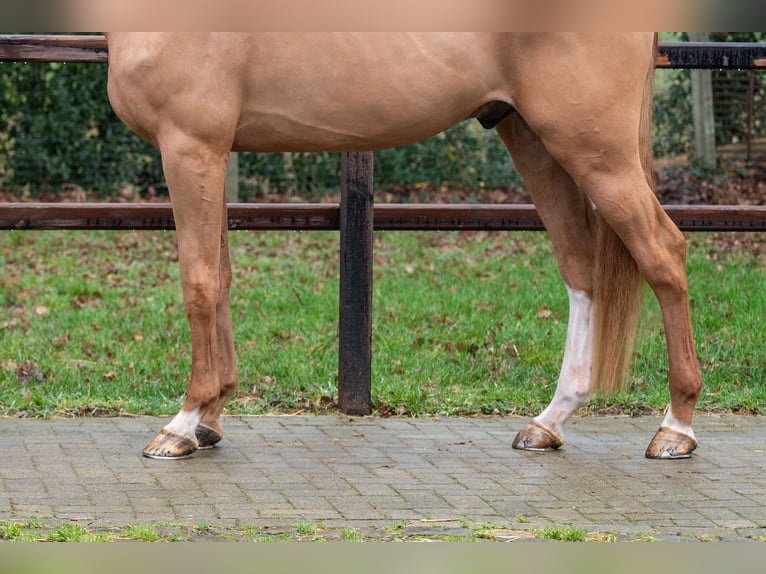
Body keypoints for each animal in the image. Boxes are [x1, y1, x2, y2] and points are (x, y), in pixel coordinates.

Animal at [104, 33, 702, 460]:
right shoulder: (211, 154)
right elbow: (222, 278)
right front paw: (210, 418)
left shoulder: (190, 147)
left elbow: (200, 283)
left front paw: (183, 424)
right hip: (534, 138)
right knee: (581, 267)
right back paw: (548, 422)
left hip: (595, 149)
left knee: (663, 253)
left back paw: (676, 429)